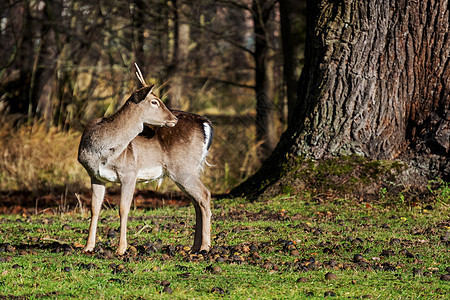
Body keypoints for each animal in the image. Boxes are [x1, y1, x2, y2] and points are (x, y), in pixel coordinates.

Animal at [78, 63, 214, 255]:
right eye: (154, 101)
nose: (173, 118)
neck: (101, 151)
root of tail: (206, 124)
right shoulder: (95, 175)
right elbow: (94, 208)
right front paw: (88, 247)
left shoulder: (129, 172)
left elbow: (123, 209)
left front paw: (121, 249)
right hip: (184, 170)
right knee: (196, 201)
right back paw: (194, 247)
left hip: (183, 167)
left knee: (204, 195)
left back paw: (205, 247)